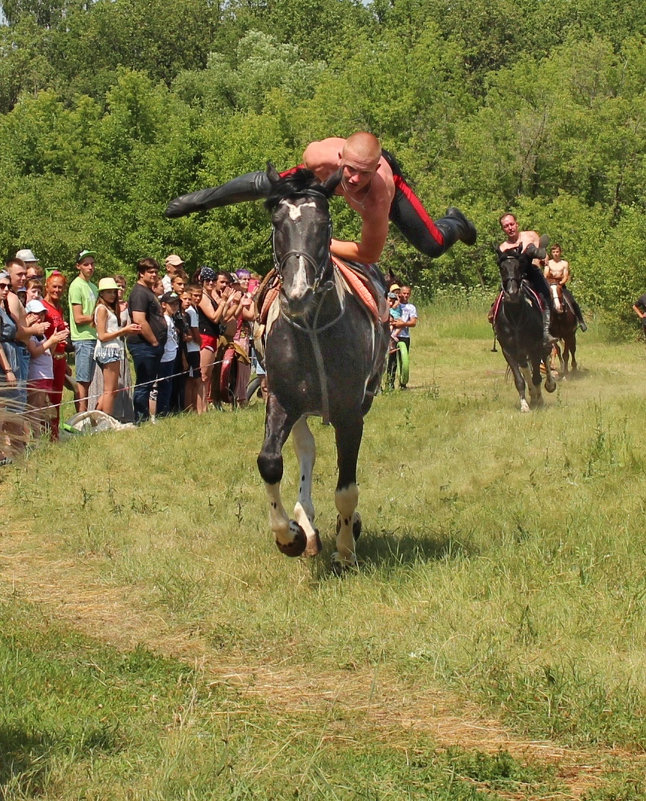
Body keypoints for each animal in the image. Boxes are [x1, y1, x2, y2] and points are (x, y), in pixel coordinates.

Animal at [258, 166, 390, 564]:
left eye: (323, 223)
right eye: (277, 222)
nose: (297, 293)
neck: (313, 328)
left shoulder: (350, 414)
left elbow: (347, 488)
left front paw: (346, 550)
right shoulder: (282, 401)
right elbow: (270, 462)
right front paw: (290, 536)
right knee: (306, 449)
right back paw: (306, 520)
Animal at [496, 250, 556, 412]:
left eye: (518, 266)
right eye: (502, 268)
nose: (512, 293)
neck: (515, 317)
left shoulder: (534, 347)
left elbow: (537, 377)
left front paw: (540, 400)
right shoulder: (508, 351)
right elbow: (519, 380)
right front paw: (524, 405)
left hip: (541, 345)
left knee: (546, 358)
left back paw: (549, 385)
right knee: (525, 368)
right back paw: (532, 395)